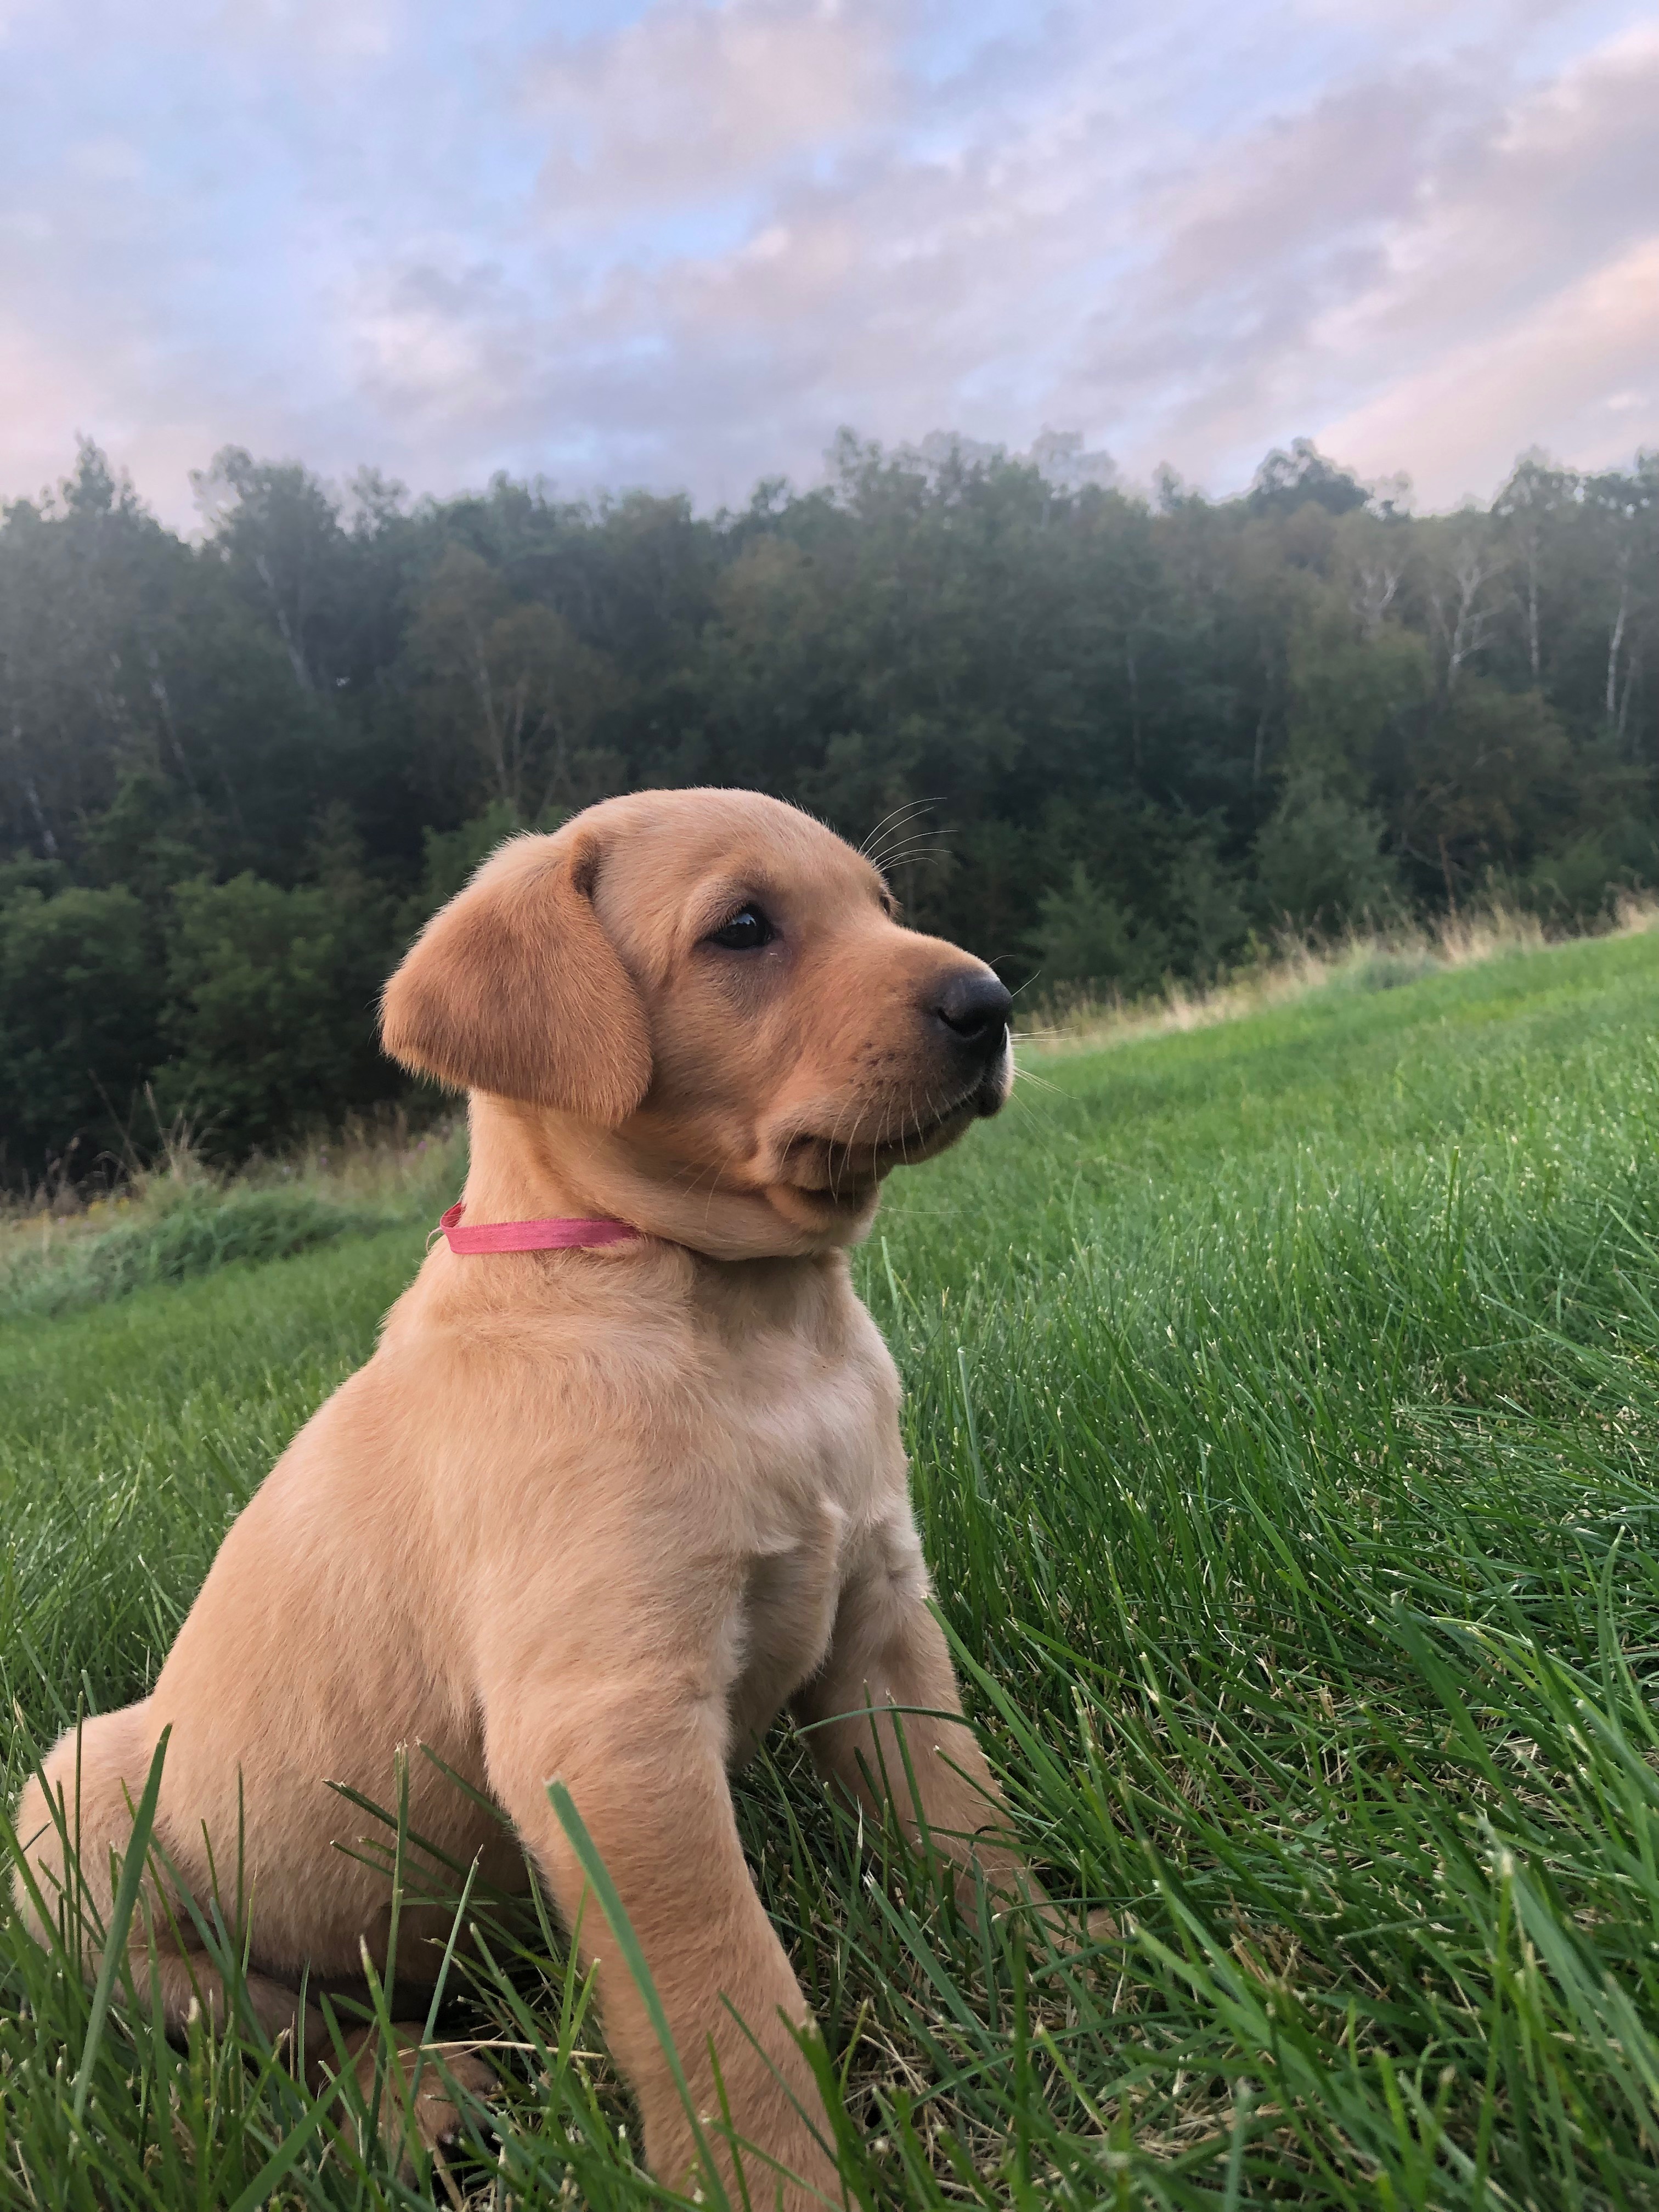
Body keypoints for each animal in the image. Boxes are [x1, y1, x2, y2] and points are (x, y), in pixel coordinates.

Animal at [16, 787, 1040, 2203]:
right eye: (743, 929)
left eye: (881, 908)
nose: (990, 1002)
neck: (742, 1318)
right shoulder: (609, 1741)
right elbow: (725, 2000)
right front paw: (773, 2181)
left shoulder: (880, 1618)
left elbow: (960, 1814)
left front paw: (1064, 1960)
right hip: (74, 1827)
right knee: (271, 2041)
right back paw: (411, 2097)